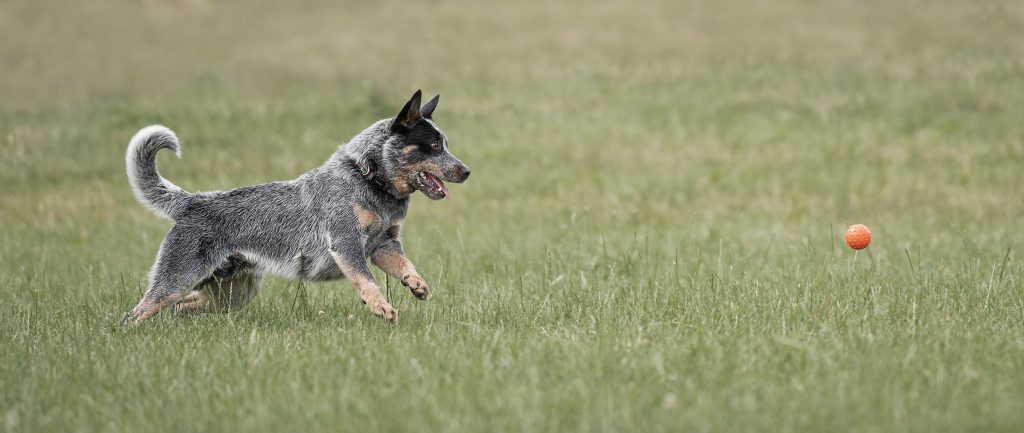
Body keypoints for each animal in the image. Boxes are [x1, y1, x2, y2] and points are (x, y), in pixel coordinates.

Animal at [121, 90, 468, 325]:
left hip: (236, 292)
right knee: (135, 314)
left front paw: (417, 285)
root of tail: (193, 201)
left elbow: (406, 265)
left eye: (446, 145)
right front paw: (381, 307)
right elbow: (366, 280)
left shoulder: (385, 245)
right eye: (434, 146)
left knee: (181, 307)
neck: (369, 179)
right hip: (178, 279)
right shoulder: (346, 244)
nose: (466, 171)